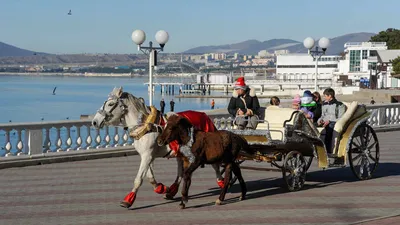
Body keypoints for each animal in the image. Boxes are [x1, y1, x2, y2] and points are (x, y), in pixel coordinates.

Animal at [92, 87, 227, 209]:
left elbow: (139, 179)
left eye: (110, 104)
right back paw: (171, 191)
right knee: (181, 173)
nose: (94, 122)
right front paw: (161, 188)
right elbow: (149, 177)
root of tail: (205, 115)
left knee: (215, 166)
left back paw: (222, 183)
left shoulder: (147, 155)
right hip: (181, 153)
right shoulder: (147, 156)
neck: (145, 126)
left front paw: (128, 199)